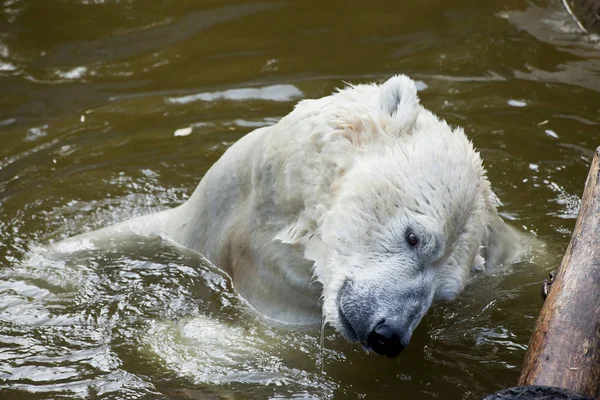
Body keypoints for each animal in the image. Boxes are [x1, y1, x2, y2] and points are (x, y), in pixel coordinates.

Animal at [58, 75, 524, 360]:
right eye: (414, 237)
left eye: (446, 292)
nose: (389, 335)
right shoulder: (221, 201)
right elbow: (147, 231)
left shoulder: (289, 296)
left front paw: (177, 336)